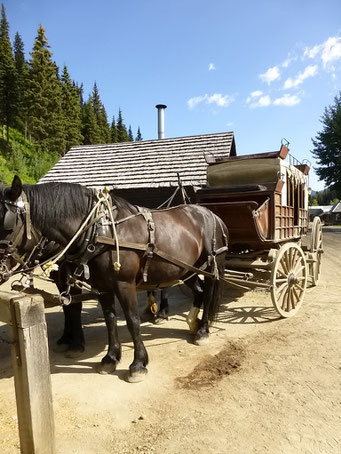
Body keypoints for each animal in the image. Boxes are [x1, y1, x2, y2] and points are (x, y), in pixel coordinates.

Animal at [0, 177, 228, 384]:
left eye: (8, 226)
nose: (0, 271)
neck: (100, 230)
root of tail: (211, 215)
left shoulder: (123, 284)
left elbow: (131, 320)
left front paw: (138, 364)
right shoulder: (102, 286)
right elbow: (108, 319)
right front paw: (110, 358)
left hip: (209, 267)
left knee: (208, 293)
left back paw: (202, 331)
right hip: (186, 270)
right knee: (199, 291)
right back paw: (192, 323)